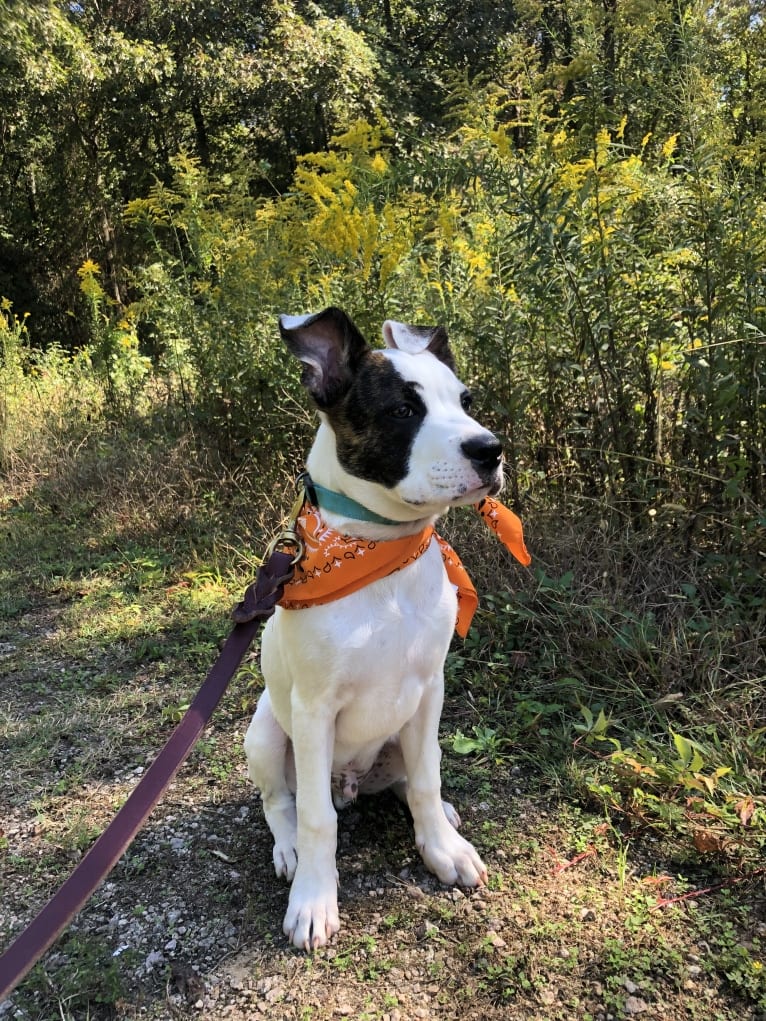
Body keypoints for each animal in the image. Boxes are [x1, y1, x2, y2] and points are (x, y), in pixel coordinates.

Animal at [246, 306, 506, 951]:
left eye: (465, 400)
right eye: (403, 410)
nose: (491, 449)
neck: (384, 554)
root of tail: (350, 780)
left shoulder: (431, 687)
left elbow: (428, 779)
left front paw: (441, 849)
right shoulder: (314, 709)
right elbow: (317, 819)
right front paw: (314, 900)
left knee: (413, 775)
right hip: (265, 734)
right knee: (282, 801)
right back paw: (289, 848)